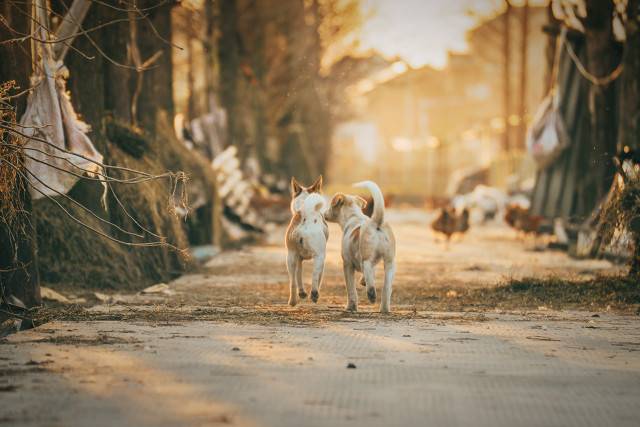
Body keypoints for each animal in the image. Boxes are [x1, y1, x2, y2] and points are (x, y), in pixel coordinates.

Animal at [284, 177, 328, 308]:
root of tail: (305, 213)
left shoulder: (298, 258)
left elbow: (299, 274)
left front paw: (302, 293)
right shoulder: (322, 258)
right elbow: (319, 277)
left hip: (290, 256)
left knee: (293, 280)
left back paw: (293, 301)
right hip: (319, 256)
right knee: (314, 276)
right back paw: (314, 294)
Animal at [324, 181, 396, 314]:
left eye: (331, 205)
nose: (324, 214)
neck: (354, 216)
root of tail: (376, 222)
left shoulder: (347, 264)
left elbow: (351, 288)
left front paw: (350, 307)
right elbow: (371, 272)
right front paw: (363, 281)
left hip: (366, 256)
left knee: (366, 267)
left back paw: (371, 294)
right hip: (390, 262)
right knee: (386, 287)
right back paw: (384, 308)